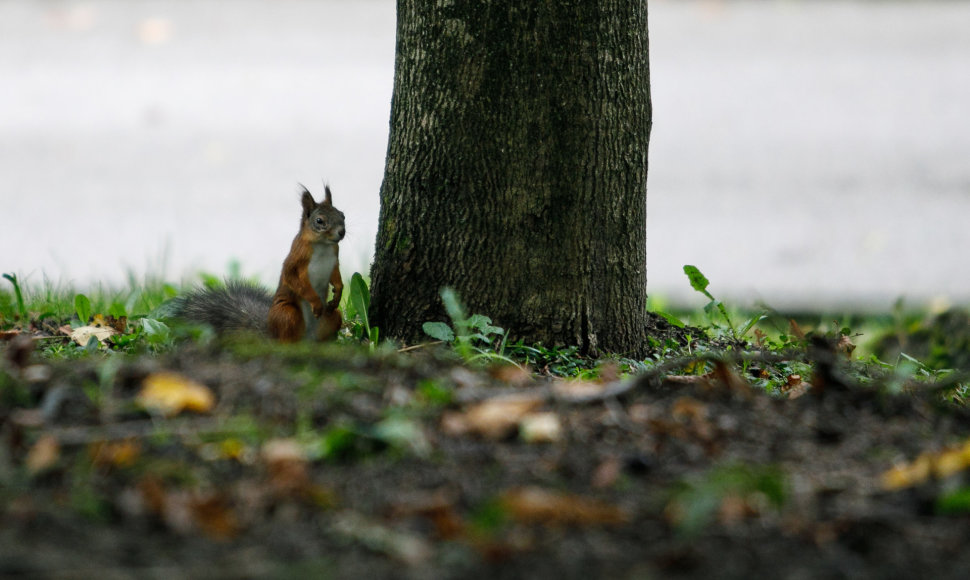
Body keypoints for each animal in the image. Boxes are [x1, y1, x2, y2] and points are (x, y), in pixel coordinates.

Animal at [172, 184, 346, 342]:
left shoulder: (334, 257)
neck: (323, 245)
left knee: (330, 319)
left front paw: (338, 292)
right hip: (286, 314)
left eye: (342, 215)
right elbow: (293, 278)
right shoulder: (297, 258)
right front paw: (316, 302)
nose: (342, 232)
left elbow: (336, 275)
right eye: (319, 221)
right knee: (285, 338)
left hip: (332, 316)